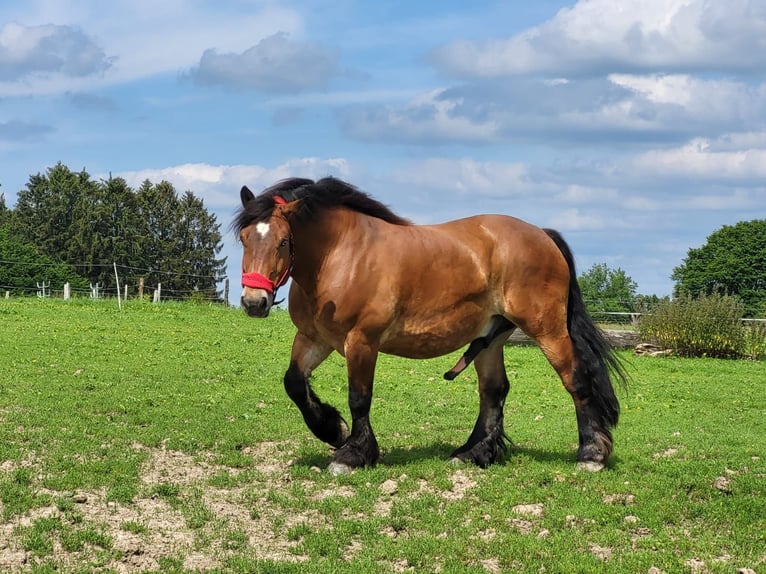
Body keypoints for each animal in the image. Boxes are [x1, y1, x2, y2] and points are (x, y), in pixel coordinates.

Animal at [236, 178, 632, 474]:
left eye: (283, 241)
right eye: (243, 238)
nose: (254, 302)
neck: (341, 256)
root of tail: (543, 234)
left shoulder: (361, 341)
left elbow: (359, 398)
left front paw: (352, 454)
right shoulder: (314, 338)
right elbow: (294, 382)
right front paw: (333, 430)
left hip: (547, 329)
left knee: (575, 379)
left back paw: (591, 454)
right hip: (491, 338)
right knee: (494, 391)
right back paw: (473, 453)